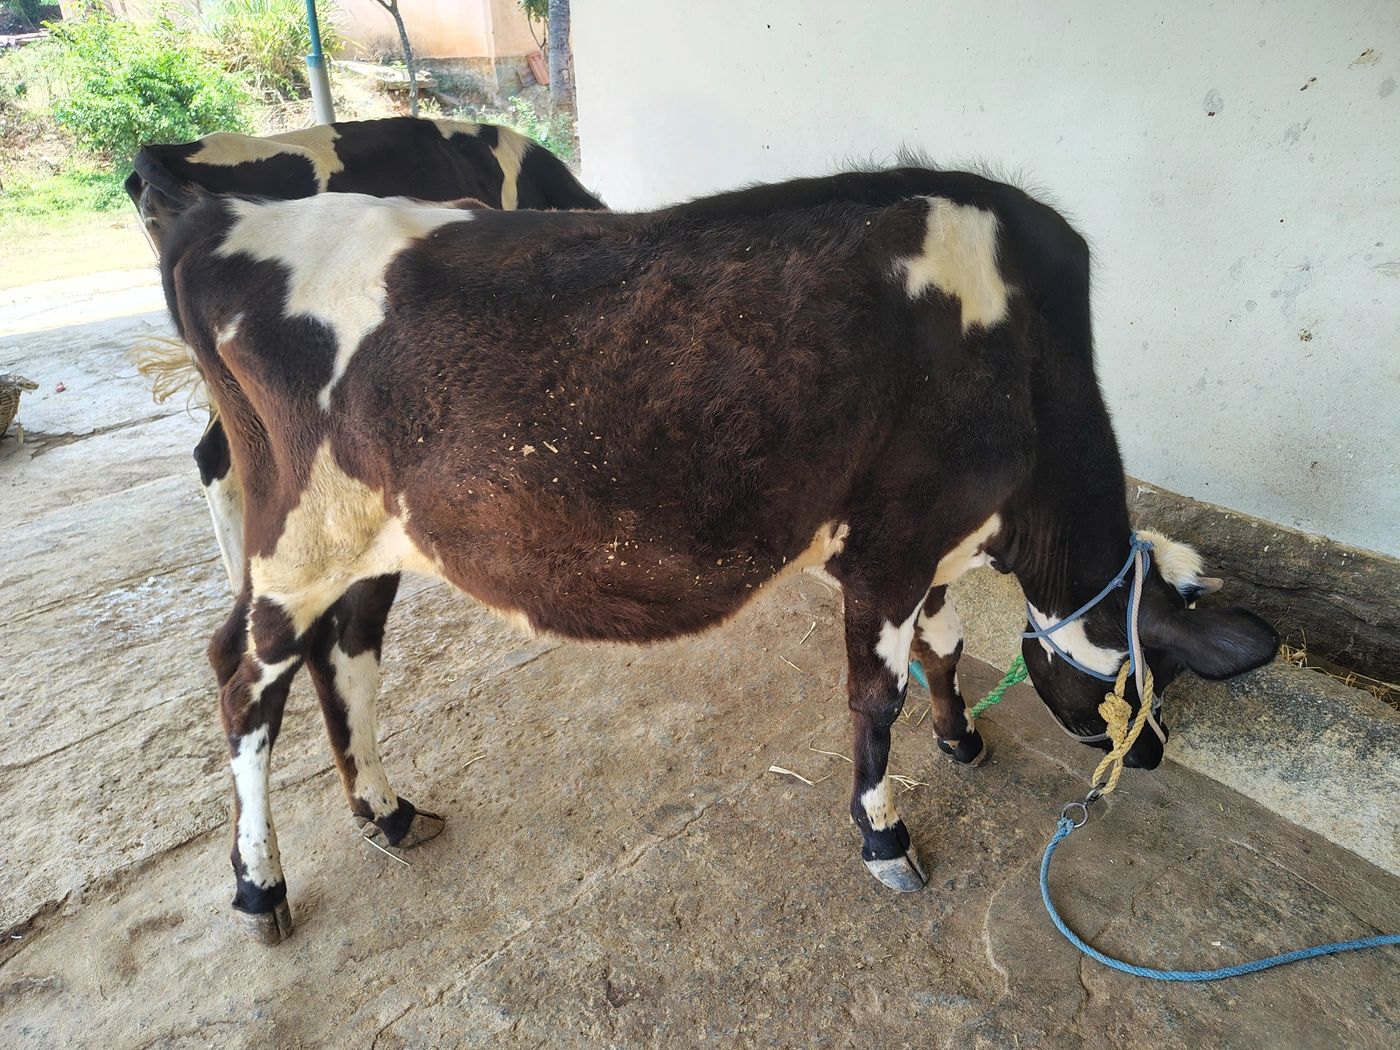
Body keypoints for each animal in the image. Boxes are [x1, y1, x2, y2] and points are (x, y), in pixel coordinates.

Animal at [158, 165, 1280, 944]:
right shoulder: (890, 543)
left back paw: (387, 814)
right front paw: (884, 835)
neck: (1021, 354)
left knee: (346, 659)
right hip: (293, 543)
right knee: (244, 681)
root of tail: (222, 217)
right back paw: (259, 884)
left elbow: (949, 644)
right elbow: (877, 696)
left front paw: (962, 739)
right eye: (1158, 665)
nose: (1147, 754)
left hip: (368, 543)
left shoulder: (926, 544)